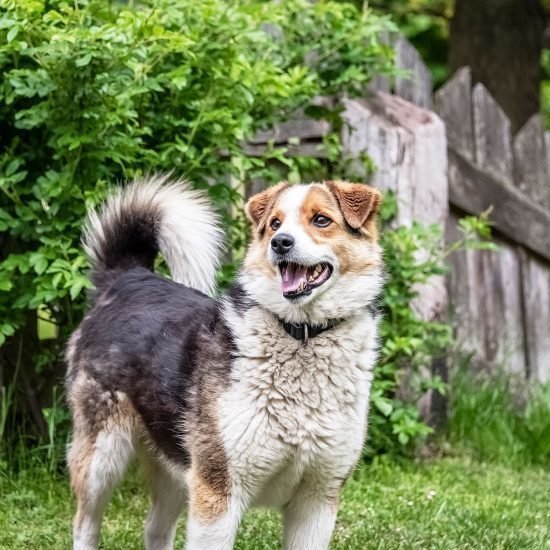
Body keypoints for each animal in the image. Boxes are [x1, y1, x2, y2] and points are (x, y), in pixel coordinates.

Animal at [66, 177, 384, 550]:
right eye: (275, 223)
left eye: (321, 220)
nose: (280, 243)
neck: (301, 334)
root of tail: (127, 278)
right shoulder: (217, 491)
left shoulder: (318, 500)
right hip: (103, 459)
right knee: (85, 524)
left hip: (177, 464)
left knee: (155, 529)